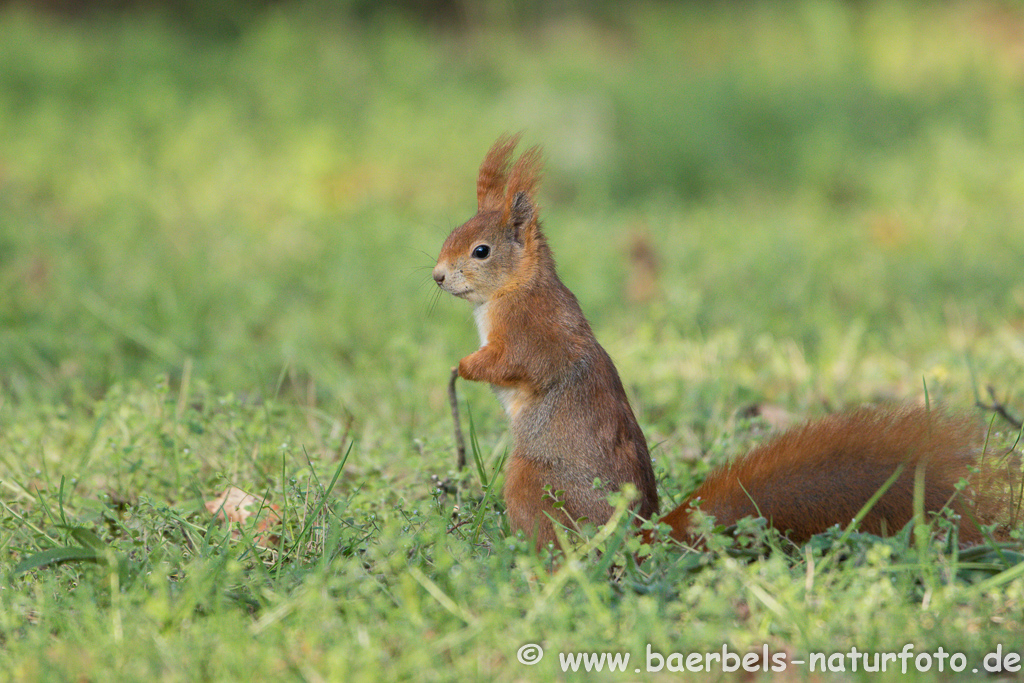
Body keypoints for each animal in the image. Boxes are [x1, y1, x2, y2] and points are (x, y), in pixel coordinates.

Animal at [434, 136, 1007, 552]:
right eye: (450, 235)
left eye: (481, 251)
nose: (437, 277)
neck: (515, 287)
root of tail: (639, 537)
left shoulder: (530, 331)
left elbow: (515, 363)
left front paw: (463, 367)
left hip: (530, 481)